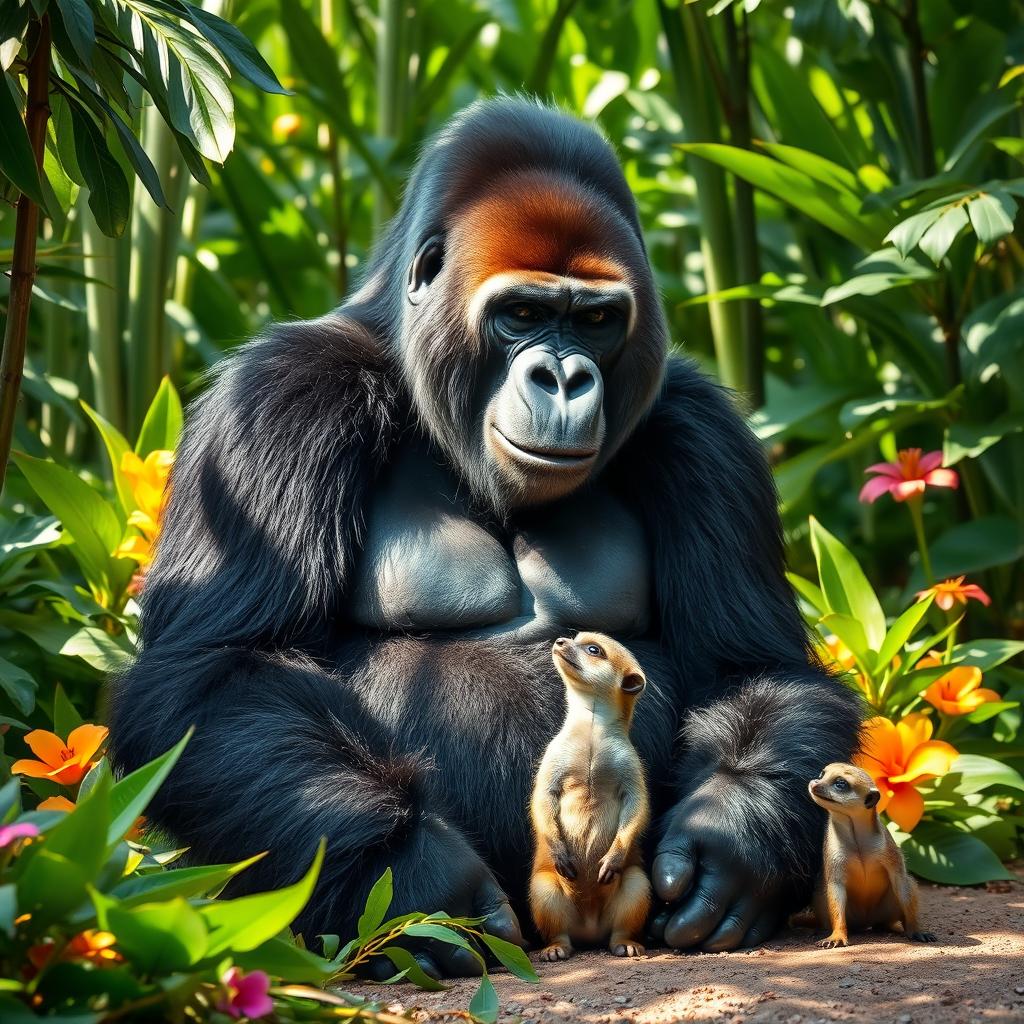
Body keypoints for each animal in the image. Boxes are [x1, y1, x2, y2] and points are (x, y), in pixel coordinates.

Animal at [110, 96, 864, 966]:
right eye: (523, 314)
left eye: (596, 320)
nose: (564, 378)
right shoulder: (275, 400)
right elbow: (216, 669)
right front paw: (415, 873)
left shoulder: (703, 428)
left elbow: (752, 668)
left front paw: (731, 834)